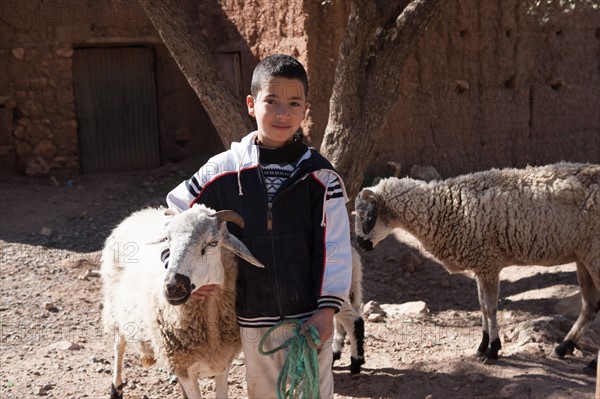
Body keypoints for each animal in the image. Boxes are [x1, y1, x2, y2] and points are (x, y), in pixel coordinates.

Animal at [101, 205, 262, 398]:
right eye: (167, 241)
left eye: (212, 243)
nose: (173, 287)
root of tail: (139, 212)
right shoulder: (184, 368)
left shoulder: (221, 363)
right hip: (114, 305)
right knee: (119, 345)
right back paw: (116, 388)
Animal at [354, 162, 596, 372]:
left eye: (368, 216)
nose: (360, 244)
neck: (446, 207)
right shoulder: (481, 264)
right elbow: (481, 306)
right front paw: (482, 347)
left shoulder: (489, 262)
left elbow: (490, 307)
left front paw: (493, 350)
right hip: (582, 257)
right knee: (590, 306)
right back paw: (563, 348)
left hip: (594, 254)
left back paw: (591, 364)